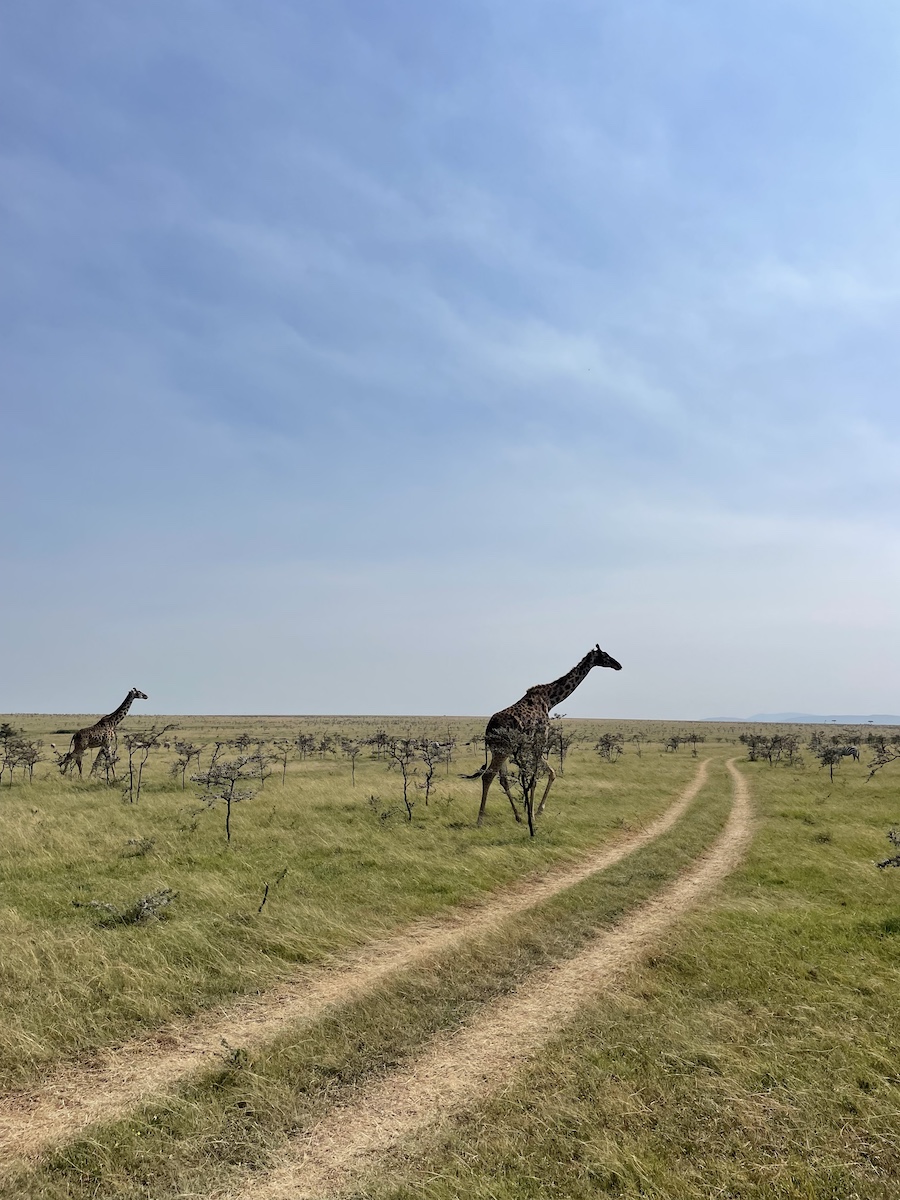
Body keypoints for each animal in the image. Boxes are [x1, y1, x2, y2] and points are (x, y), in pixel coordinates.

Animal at [473, 645, 622, 826]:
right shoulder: (540, 739)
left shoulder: (530, 745)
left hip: (501, 750)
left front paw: (537, 811)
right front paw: (533, 815)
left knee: (502, 779)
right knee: (488, 776)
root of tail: (488, 730)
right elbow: (535, 778)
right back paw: (480, 820)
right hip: (503, 749)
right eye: (605, 655)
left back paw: (518, 817)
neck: (551, 700)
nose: (618, 665)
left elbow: (551, 773)